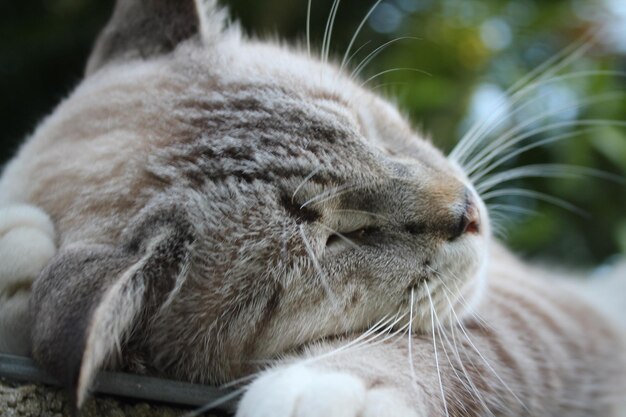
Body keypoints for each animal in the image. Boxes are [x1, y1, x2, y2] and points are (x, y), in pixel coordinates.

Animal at [0, 0, 620, 414]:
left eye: (370, 131)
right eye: (340, 238)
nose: (468, 214)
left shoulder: (547, 304)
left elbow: (478, 343)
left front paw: (337, 390)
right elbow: (454, 341)